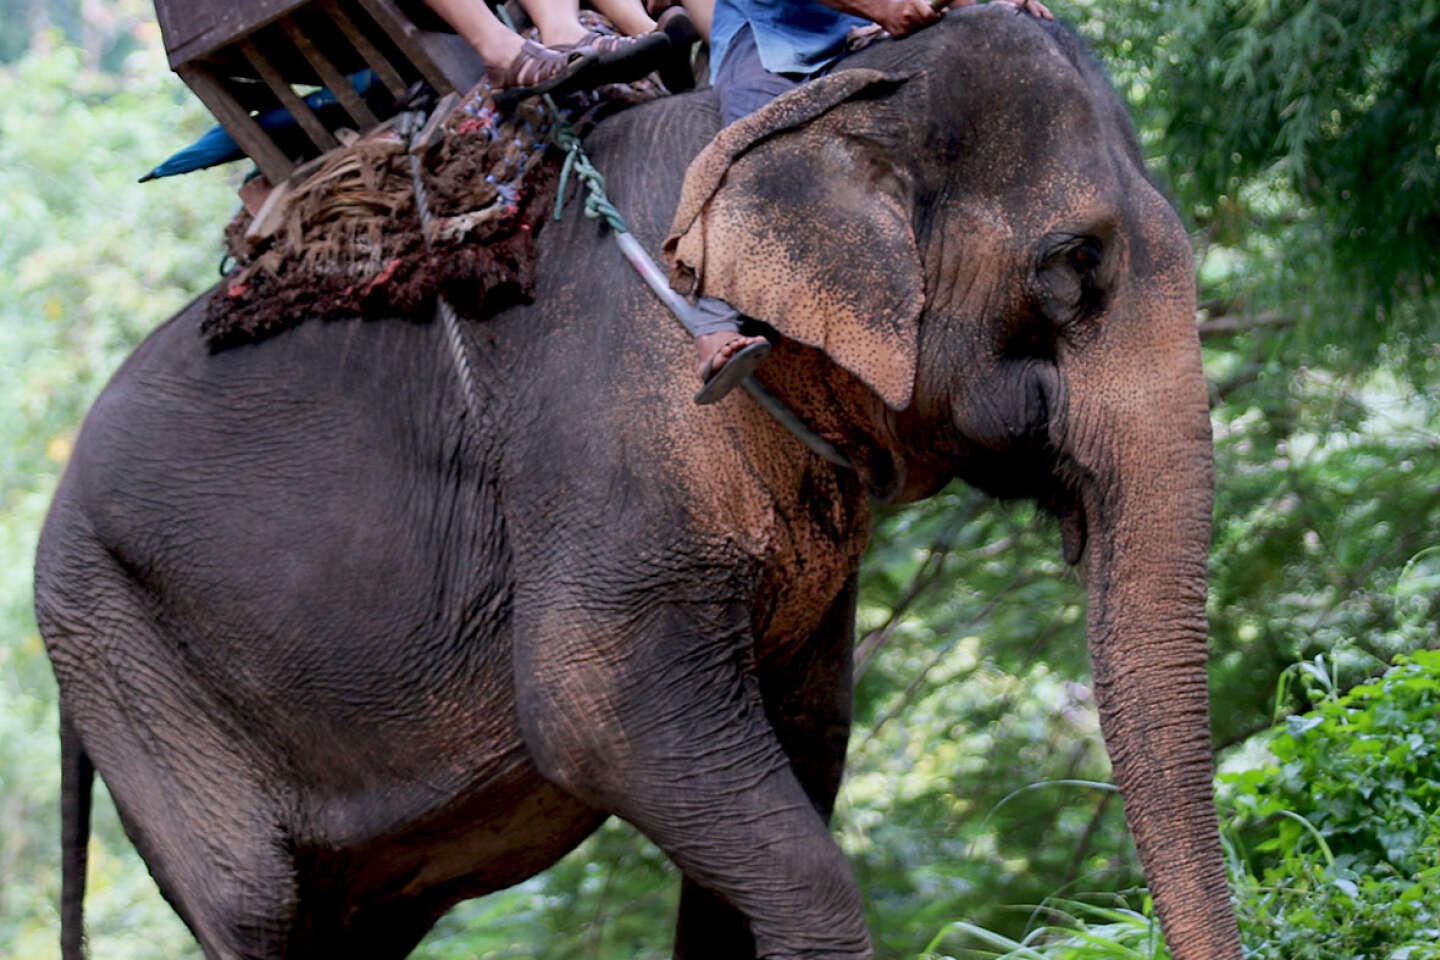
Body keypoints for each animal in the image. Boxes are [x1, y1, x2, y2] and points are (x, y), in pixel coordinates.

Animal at [36, 7, 1238, 960]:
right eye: (1073, 267)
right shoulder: (608, 427)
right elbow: (591, 712)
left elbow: (803, 747)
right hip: (125, 659)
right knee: (256, 909)